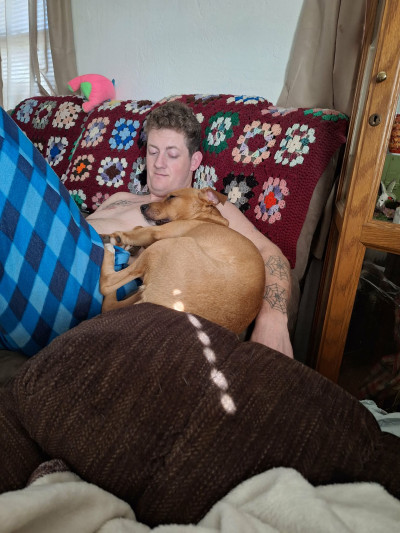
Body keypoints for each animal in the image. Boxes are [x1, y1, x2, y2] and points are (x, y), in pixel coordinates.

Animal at [99, 187, 265, 334]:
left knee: (106, 284)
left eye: (172, 197)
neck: (205, 218)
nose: (142, 207)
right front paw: (130, 244)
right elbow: (137, 228)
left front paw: (114, 237)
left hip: (168, 245)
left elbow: (132, 232)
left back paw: (109, 250)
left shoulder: (156, 232)